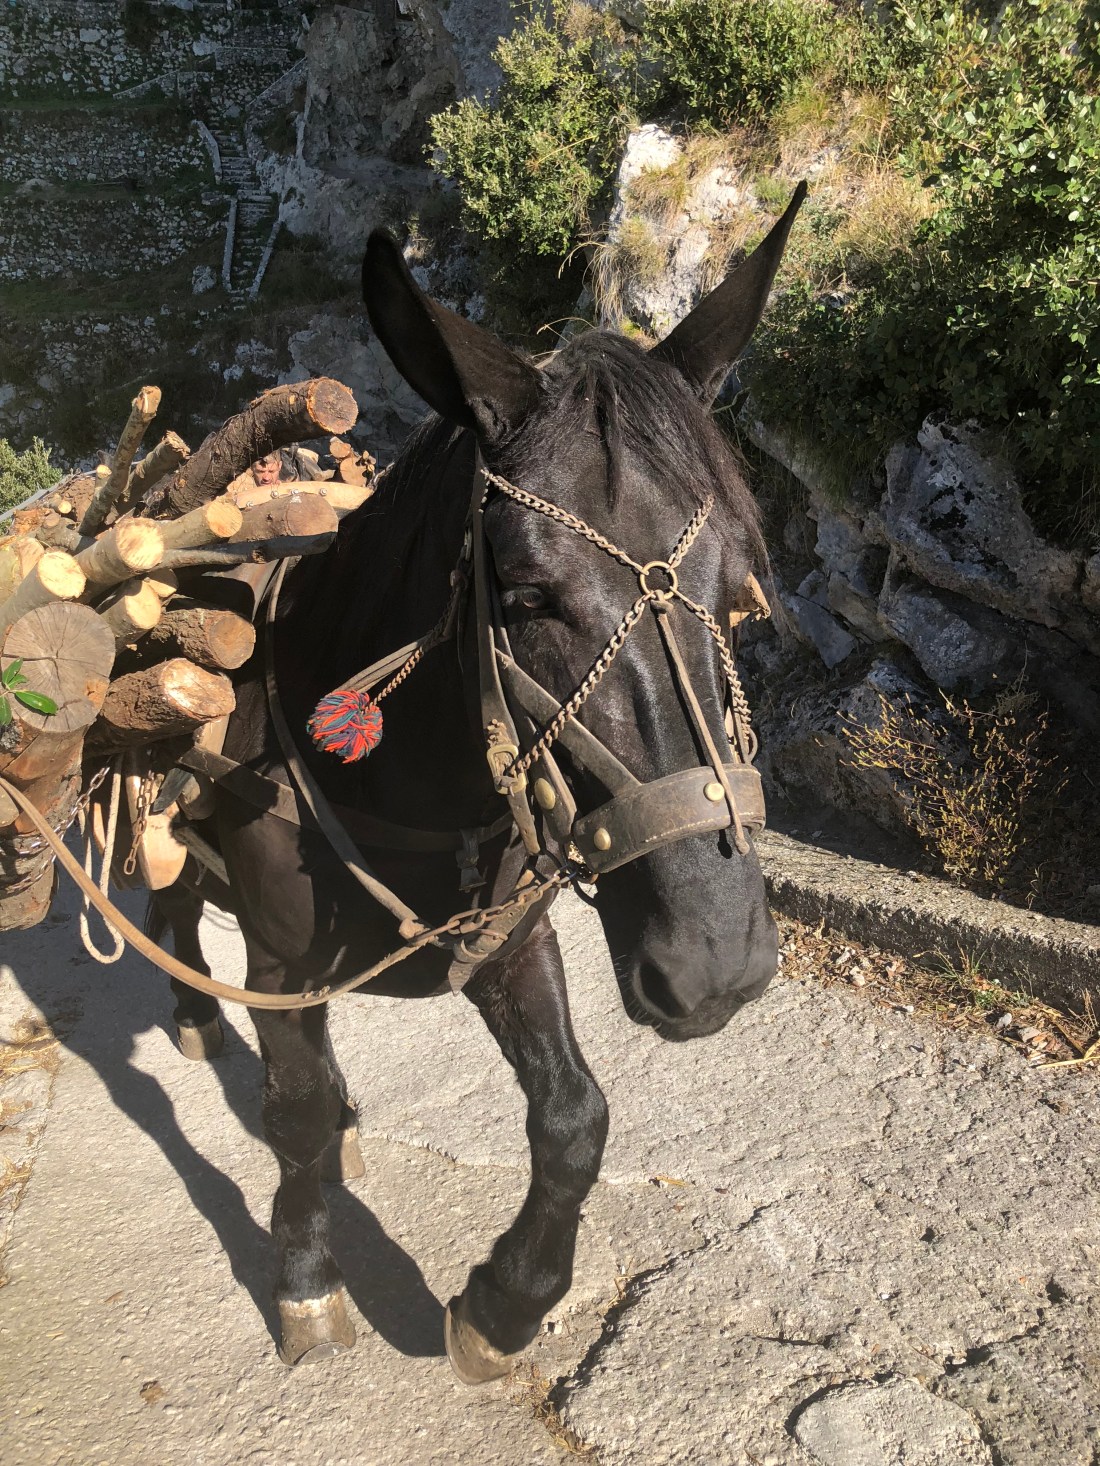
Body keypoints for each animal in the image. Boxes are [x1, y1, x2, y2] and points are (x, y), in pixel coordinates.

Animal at [150, 183, 806, 1377]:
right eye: (525, 596)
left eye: (742, 589)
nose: (717, 964)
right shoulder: (279, 948)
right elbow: (294, 1108)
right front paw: (306, 1273)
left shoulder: (507, 931)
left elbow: (574, 1114)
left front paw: (507, 1300)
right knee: (161, 880)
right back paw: (188, 1006)